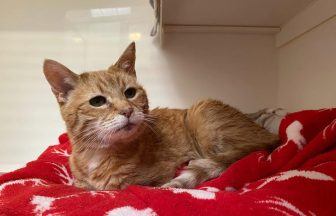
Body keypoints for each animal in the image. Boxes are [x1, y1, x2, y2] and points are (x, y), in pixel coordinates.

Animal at [42, 41, 278, 189]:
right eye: (97, 101)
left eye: (130, 93)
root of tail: (269, 134)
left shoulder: (154, 178)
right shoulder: (81, 184)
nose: (127, 110)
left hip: (201, 113)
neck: (97, 154)